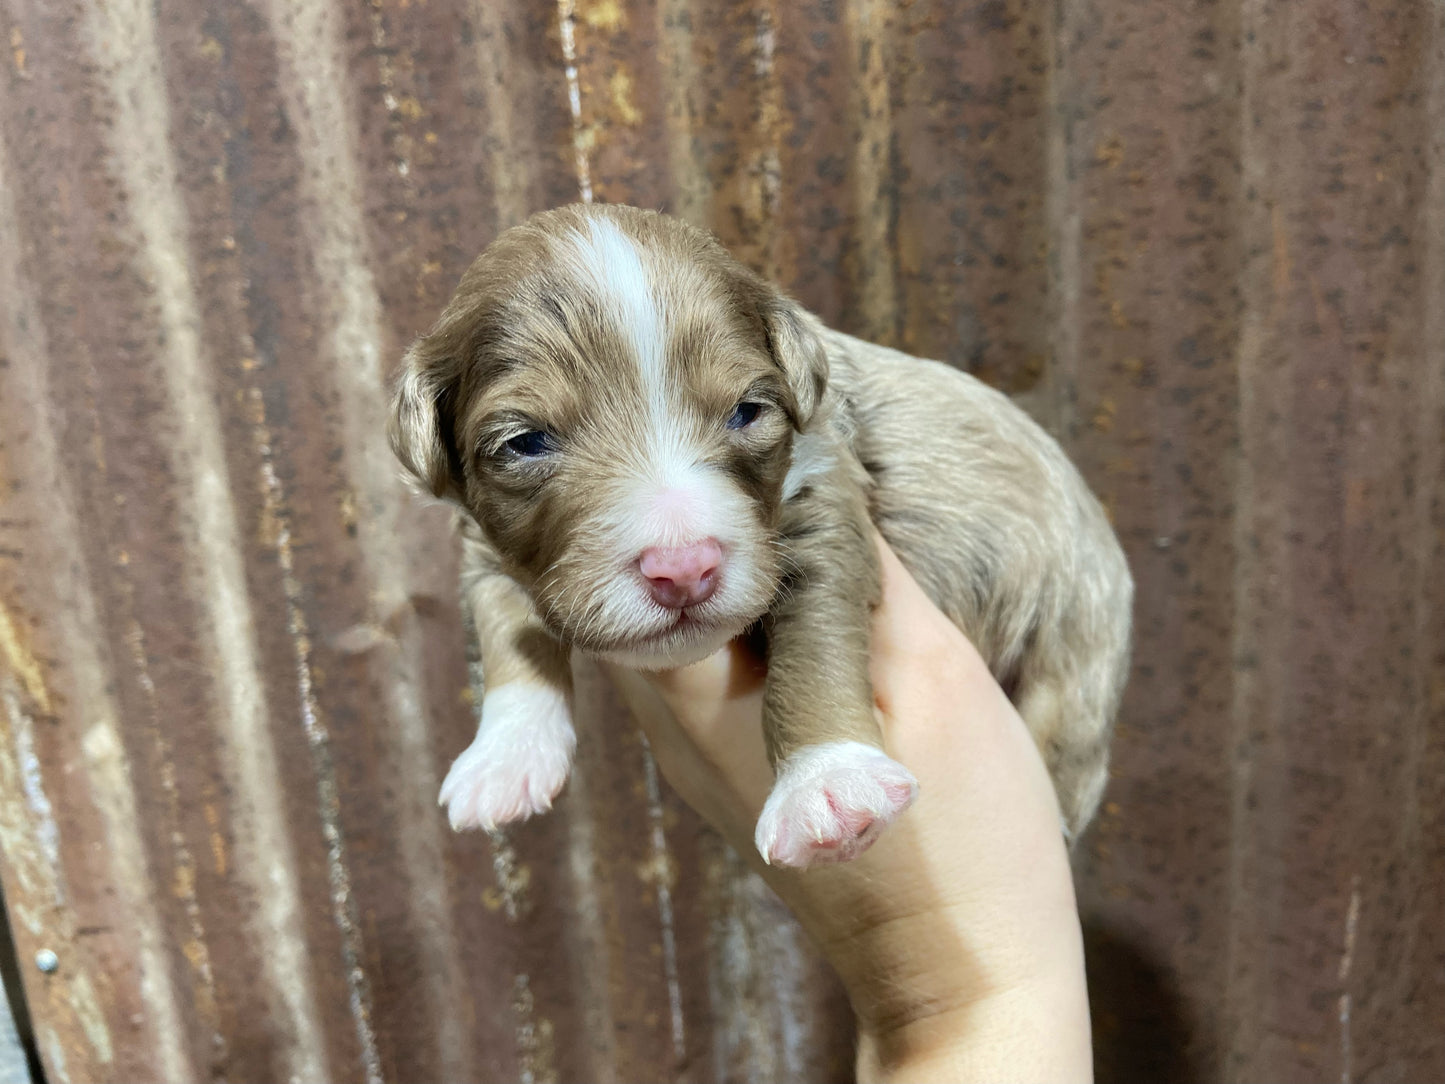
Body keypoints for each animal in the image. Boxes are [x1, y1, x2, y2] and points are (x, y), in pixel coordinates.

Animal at [390, 202, 1132, 867]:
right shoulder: (483, 541)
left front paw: (828, 784)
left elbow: (813, 646)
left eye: (747, 412)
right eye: (524, 443)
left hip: (1073, 669)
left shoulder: (823, 503)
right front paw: (505, 755)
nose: (684, 568)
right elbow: (505, 623)